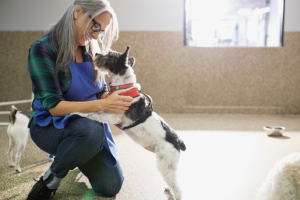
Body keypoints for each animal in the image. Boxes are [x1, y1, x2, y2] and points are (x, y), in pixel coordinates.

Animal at [75, 46, 185, 200]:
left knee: (178, 189)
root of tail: (179, 142)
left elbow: (94, 113)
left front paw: (79, 112)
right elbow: (97, 108)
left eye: (109, 55)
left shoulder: (113, 116)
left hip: (166, 164)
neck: (123, 87)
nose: (96, 53)